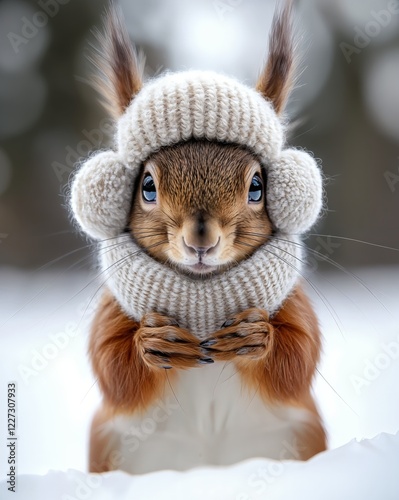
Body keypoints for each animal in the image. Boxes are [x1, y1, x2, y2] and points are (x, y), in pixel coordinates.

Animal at [70, 1, 328, 474]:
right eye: (147, 186)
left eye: (257, 186)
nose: (201, 240)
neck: (203, 299)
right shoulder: (114, 310)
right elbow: (112, 366)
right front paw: (154, 343)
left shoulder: (293, 303)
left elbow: (299, 356)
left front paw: (254, 336)